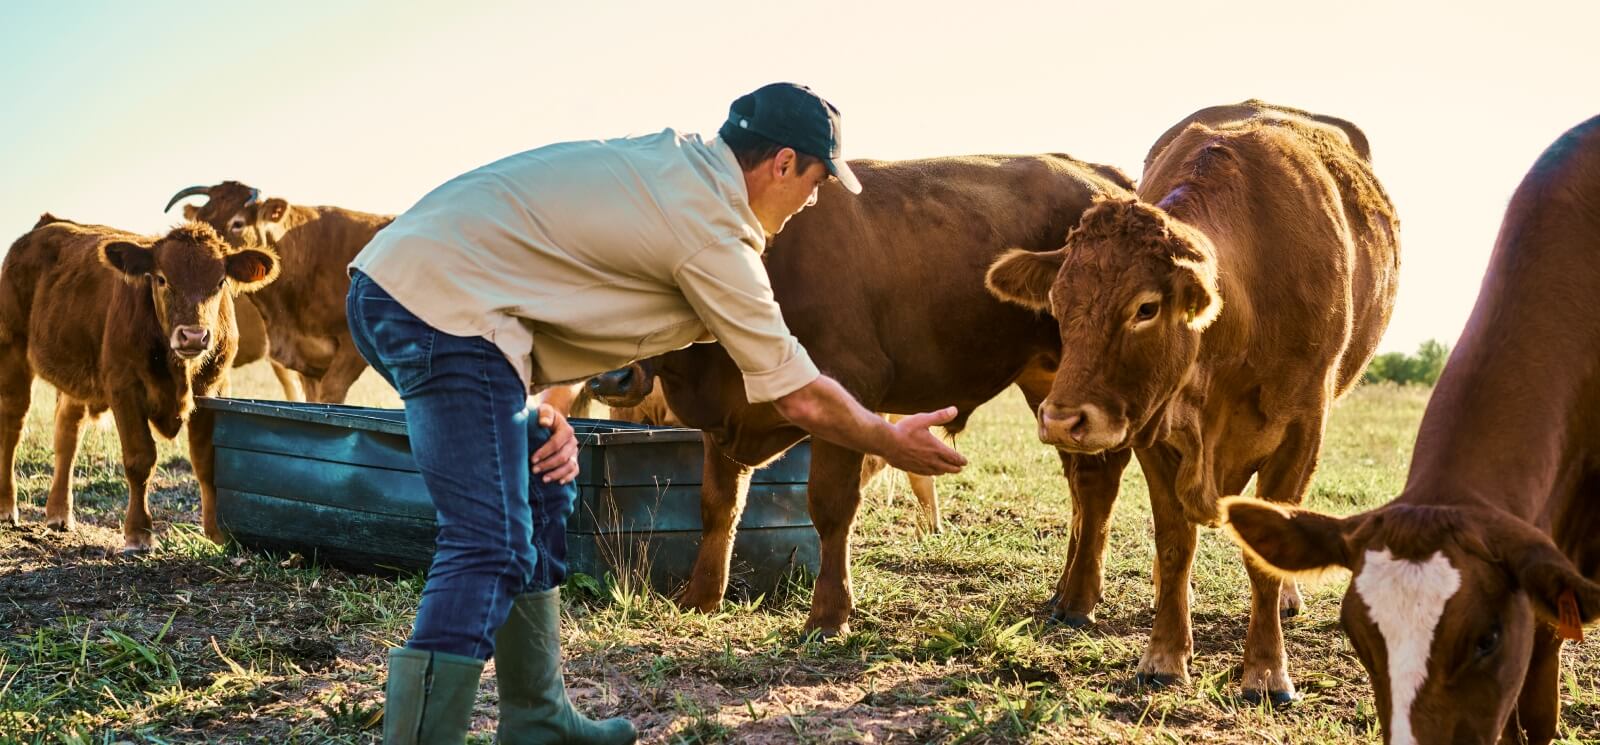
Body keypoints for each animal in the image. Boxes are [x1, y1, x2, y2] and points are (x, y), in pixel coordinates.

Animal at [0, 214, 280, 546]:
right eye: (161, 279)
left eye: (220, 282)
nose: (193, 335)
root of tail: (48, 223)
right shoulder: (125, 388)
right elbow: (139, 459)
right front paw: (138, 533)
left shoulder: (214, 390)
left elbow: (206, 461)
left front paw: (215, 532)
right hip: (12, 350)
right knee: (12, 426)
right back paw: (7, 506)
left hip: (76, 375)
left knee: (67, 433)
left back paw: (59, 513)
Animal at [595, 154, 1132, 636]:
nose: (608, 379)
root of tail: (1098, 175)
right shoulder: (722, 423)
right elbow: (717, 506)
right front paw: (701, 598)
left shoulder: (850, 386)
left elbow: (830, 508)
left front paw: (828, 616)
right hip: (1048, 387)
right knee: (1078, 484)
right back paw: (1062, 594)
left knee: (1095, 483)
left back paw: (1078, 603)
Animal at [985, 100, 1401, 703]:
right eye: (1058, 303)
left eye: (1146, 307)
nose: (1063, 420)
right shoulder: (1155, 431)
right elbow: (1174, 542)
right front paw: (1163, 657)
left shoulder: (1302, 431)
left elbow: (1265, 559)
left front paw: (1267, 672)